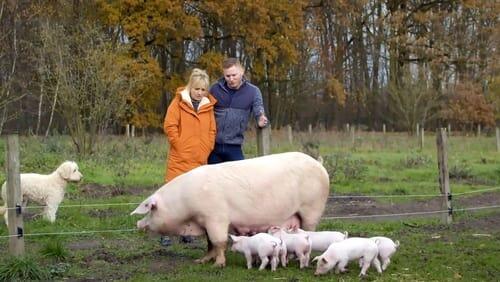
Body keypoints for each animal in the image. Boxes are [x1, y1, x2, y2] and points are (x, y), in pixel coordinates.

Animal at [131, 152, 330, 266]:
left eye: (151, 209)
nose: (138, 224)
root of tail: (319, 163)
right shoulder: (205, 222)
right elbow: (210, 243)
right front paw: (201, 261)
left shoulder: (216, 217)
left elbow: (219, 241)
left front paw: (217, 265)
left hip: (312, 209)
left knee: (309, 232)